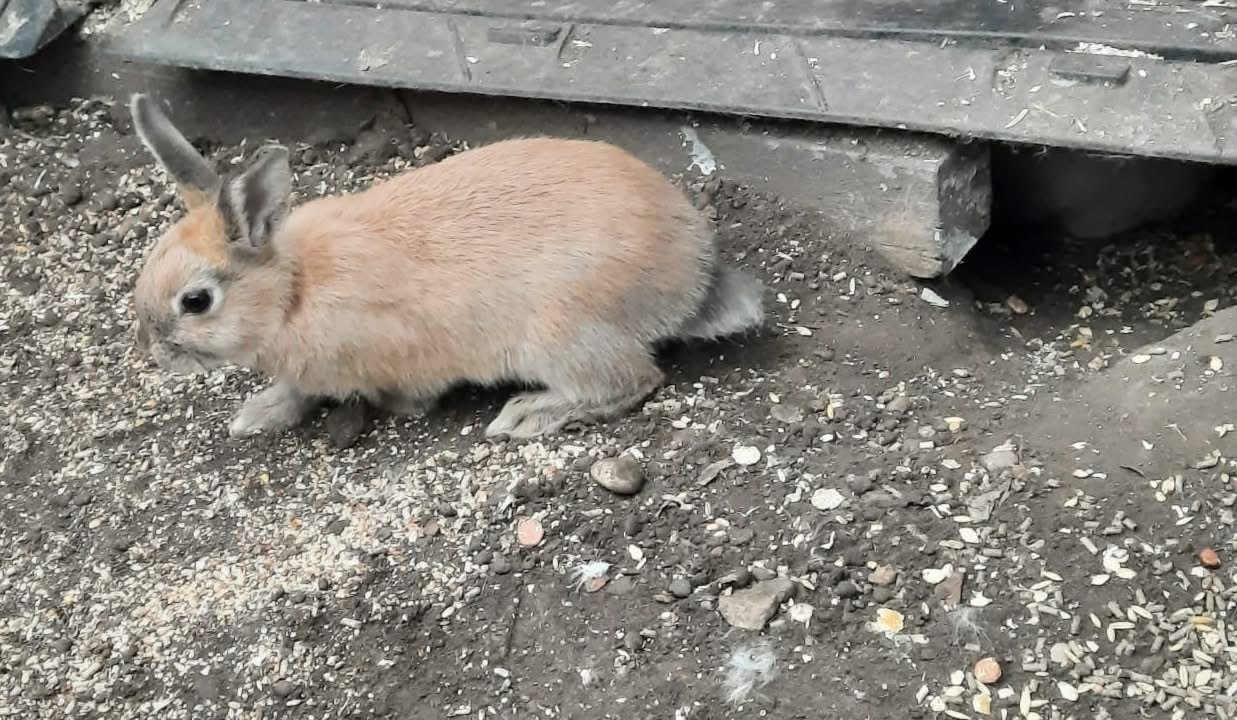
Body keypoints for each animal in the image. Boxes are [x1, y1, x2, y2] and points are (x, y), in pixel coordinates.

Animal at [127, 93, 764, 440]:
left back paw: (527, 414)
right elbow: (296, 390)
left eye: (195, 301)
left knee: (632, 380)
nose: (154, 354)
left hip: (560, 335)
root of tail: (695, 279)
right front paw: (257, 415)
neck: (293, 291)